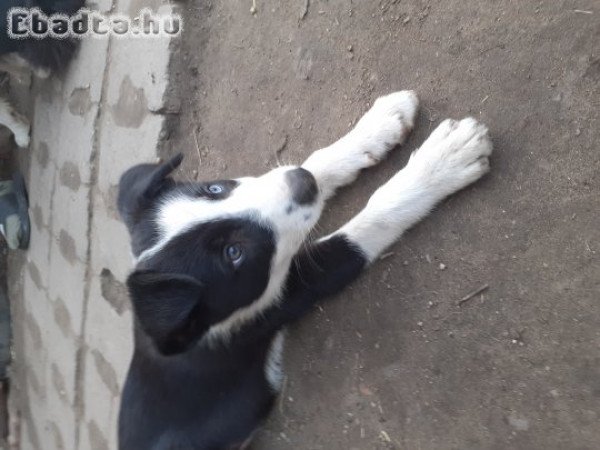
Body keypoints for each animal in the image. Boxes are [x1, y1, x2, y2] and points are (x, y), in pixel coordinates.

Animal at [116, 89, 492, 448]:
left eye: (214, 188)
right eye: (234, 253)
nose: (302, 183)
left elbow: (317, 162)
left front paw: (381, 124)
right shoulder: (287, 294)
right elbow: (366, 225)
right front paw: (443, 162)